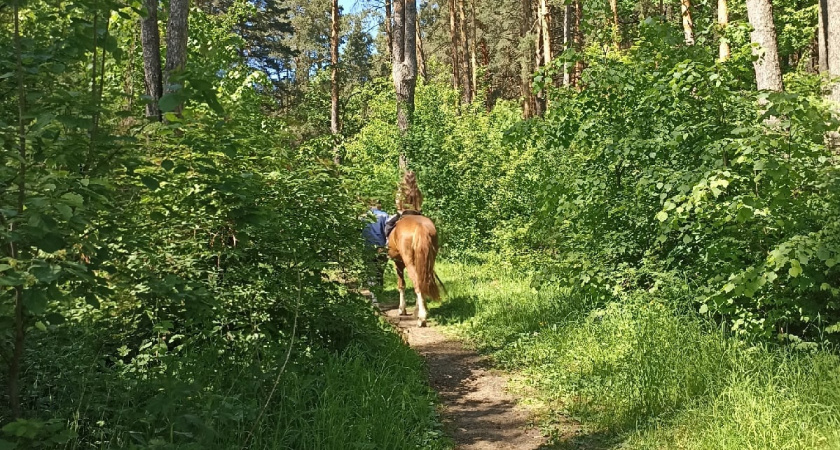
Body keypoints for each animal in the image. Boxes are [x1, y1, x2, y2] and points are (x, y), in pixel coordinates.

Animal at [388, 172, 440, 326]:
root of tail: (421, 227)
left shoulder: (398, 263)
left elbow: (401, 285)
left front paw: (402, 309)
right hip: (429, 260)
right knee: (422, 281)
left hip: (409, 261)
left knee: (417, 283)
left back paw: (422, 318)